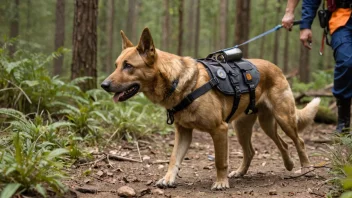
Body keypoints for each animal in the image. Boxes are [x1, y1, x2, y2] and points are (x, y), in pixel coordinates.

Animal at [100, 27, 320, 190]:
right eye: (116, 65)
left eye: (128, 66)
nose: (103, 85)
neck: (179, 82)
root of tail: (276, 68)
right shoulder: (183, 132)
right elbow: (174, 158)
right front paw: (168, 179)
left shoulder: (219, 129)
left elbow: (219, 161)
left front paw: (221, 182)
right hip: (248, 126)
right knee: (261, 149)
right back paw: (266, 168)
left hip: (283, 119)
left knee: (298, 141)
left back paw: (305, 167)